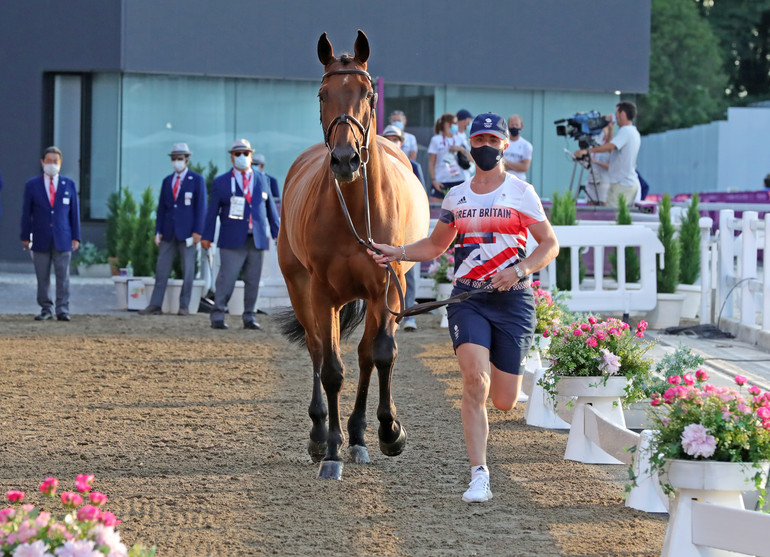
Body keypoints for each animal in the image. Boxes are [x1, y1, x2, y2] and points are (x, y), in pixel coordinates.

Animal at [276, 30, 428, 478]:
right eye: (323, 94)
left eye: (368, 94)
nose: (345, 159)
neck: (357, 214)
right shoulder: (322, 293)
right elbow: (330, 367)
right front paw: (331, 451)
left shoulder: (387, 288)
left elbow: (380, 354)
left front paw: (389, 431)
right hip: (299, 287)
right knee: (315, 348)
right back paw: (320, 432)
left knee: (365, 356)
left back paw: (360, 435)